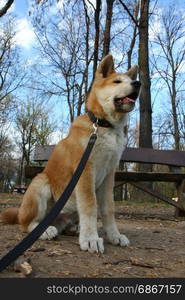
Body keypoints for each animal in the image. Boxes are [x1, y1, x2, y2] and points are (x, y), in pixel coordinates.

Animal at [1, 54, 141, 253]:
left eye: (131, 80)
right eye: (117, 81)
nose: (138, 83)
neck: (103, 125)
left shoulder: (109, 175)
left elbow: (108, 209)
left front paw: (114, 235)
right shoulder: (86, 171)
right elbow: (90, 206)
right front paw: (91, 239)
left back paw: (74, 229)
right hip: (40, 183)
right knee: (26, 224)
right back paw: (44, 230)